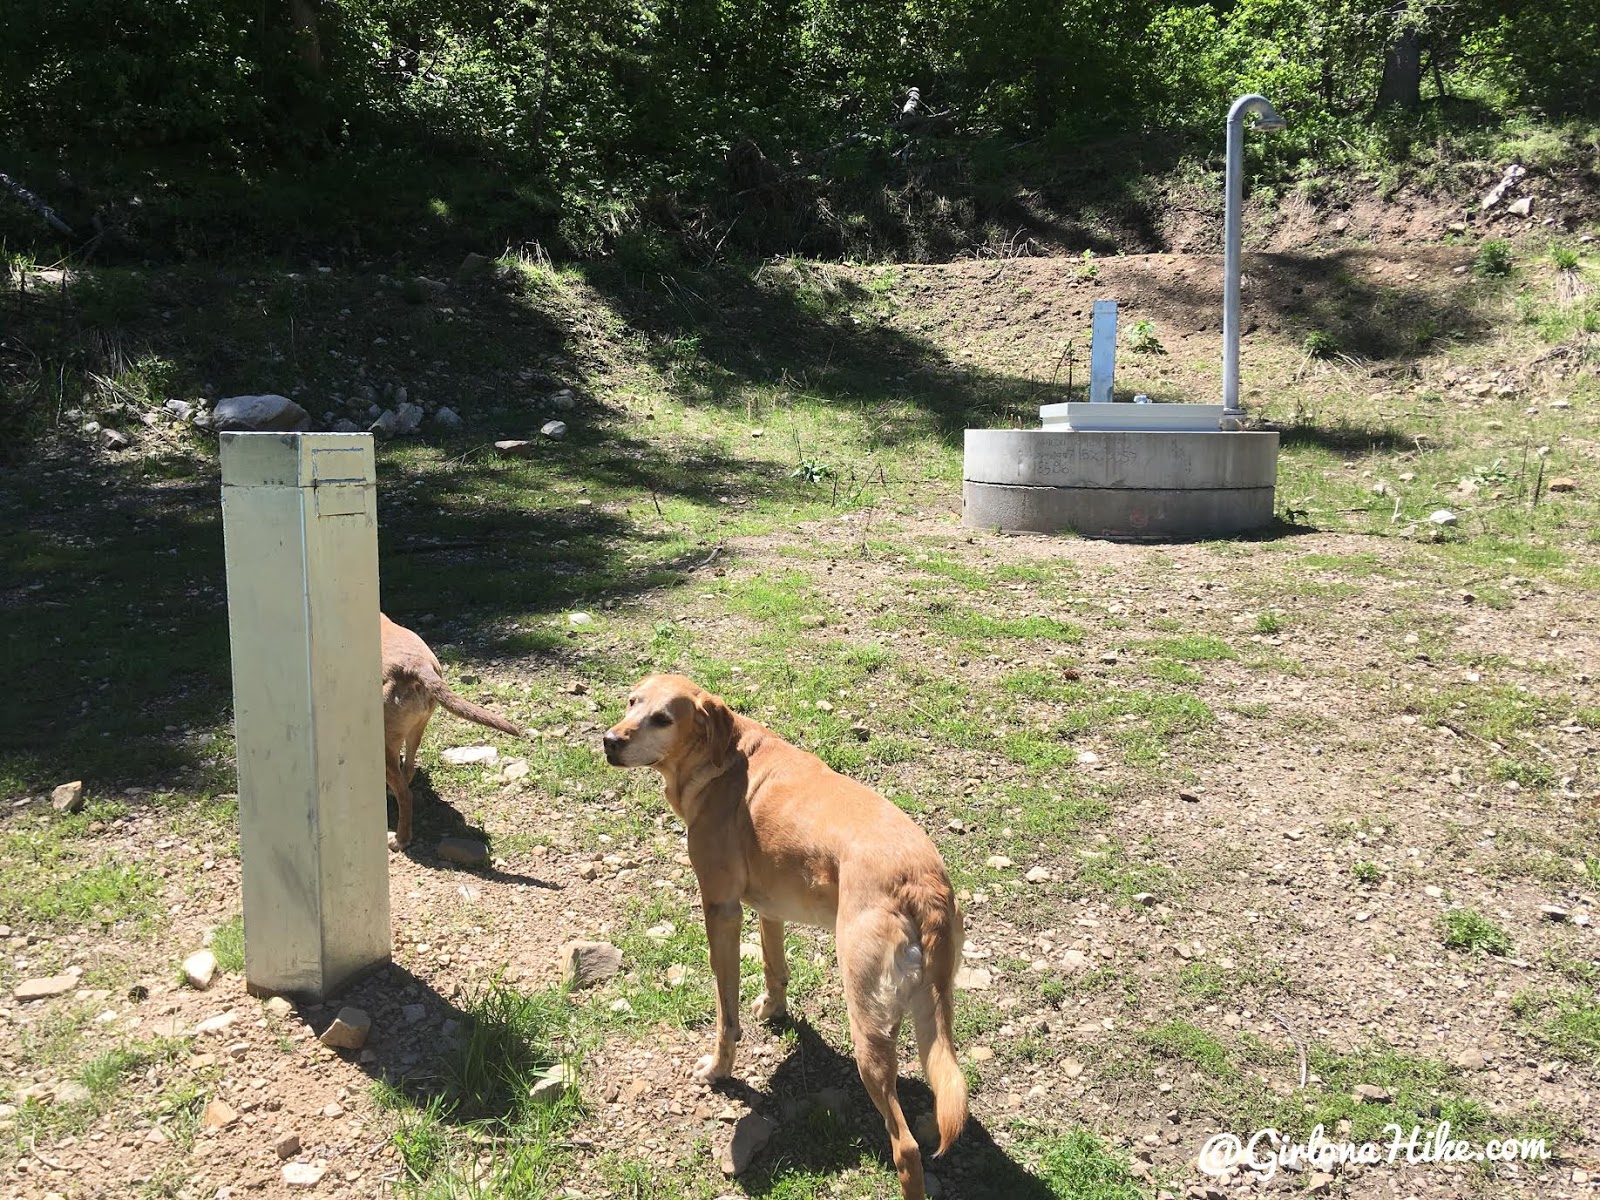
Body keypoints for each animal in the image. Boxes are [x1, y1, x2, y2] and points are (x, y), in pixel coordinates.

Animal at [379, 614, 518, 851]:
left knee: (406, 795)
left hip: (386, 744)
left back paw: (399, 839)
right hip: (416, 729)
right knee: (408, 771)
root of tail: (415, 665)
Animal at [604, 672, 966, 1196]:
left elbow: (725, 1014)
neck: (722, 757)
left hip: (867, 1028)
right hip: (926, 1018)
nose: (609, 741)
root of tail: (921, 882)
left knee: (907, 1148)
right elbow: (774, 968)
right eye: (631, 702)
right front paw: (774, 1010)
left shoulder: (722, 910)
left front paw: (718, 1069)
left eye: (663, 718)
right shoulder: (767, 908)